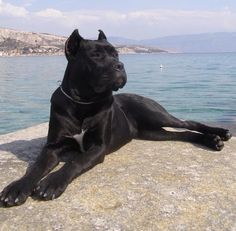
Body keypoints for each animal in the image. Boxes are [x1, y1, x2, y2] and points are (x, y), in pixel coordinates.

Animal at [0, 29, 231, 208]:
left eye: (116, 54)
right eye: (95, 55)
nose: (120, 65)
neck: (83, 102)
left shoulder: (98, 147)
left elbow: (75, 162)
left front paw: (52, 182)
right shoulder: (52, 147)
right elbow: (36, 167)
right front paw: (17, 188)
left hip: (155, 114)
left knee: (189, 123)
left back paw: (220, 135)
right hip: (152, 132)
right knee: (184, 134)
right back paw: (211, 141)